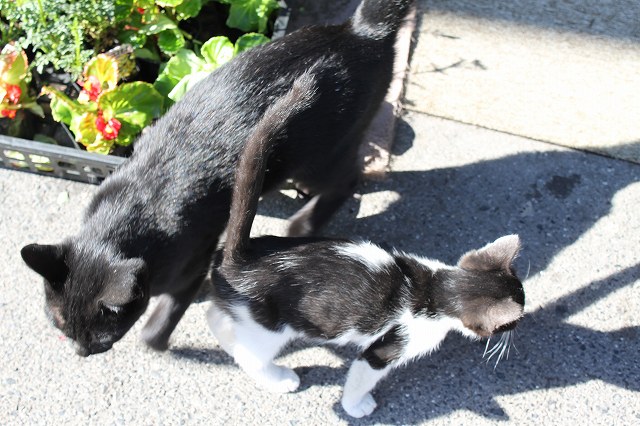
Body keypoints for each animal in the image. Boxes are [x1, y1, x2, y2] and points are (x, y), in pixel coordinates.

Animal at [18, 0, 416, 356]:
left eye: (101, 337)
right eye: (60, 324)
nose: (81, 351)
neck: (124, 217)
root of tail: (361, 29)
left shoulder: (193, 265)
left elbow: (160, 321)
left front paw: (157, 341)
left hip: (317, 158)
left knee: (349, 179)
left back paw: (302, 224)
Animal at [209, 72, 524, 416]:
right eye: (511, 321)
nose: (517, 327)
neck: (435, 288)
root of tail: (242, 257)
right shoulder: (386, 347)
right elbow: (361, 377)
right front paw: (356, 406)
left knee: (219, 320)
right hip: (270, 328)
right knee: (249, 356)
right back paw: (278, 378)